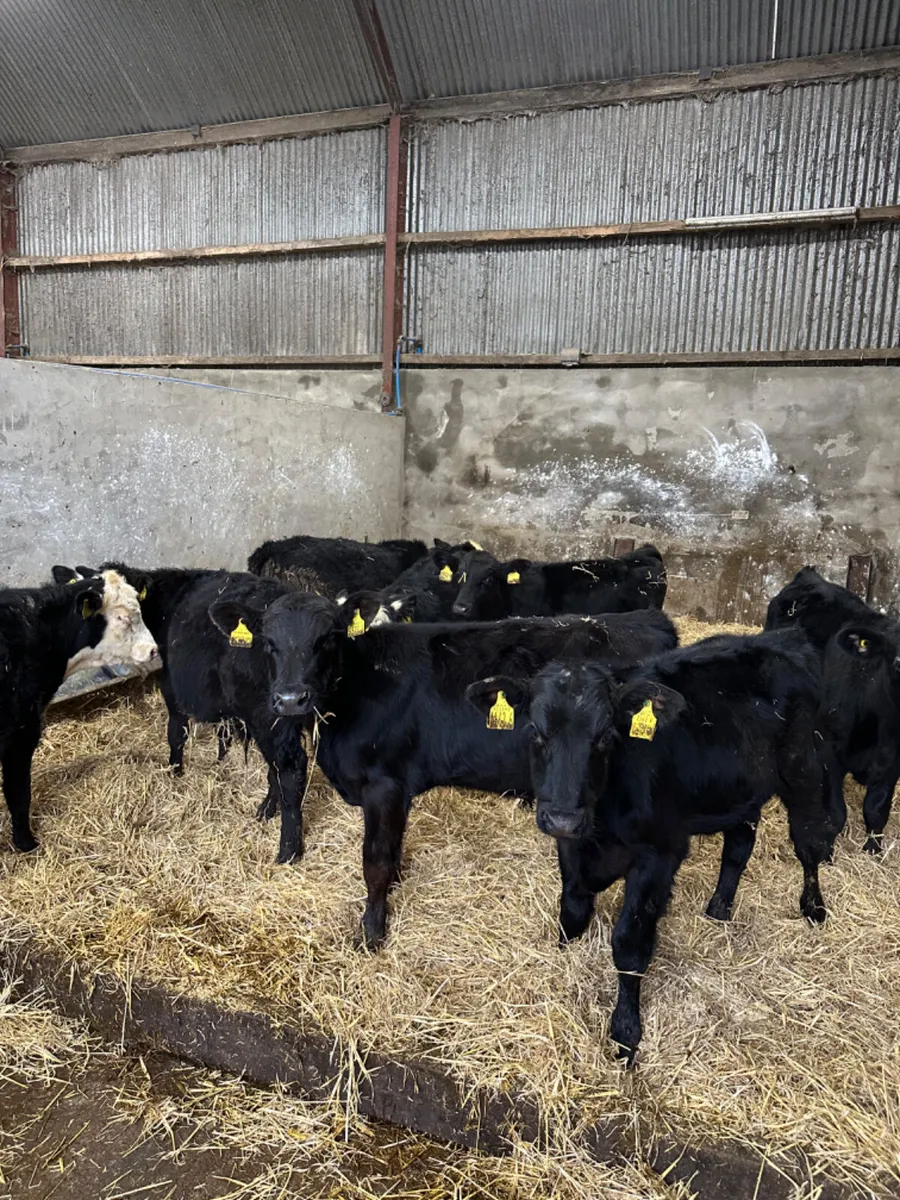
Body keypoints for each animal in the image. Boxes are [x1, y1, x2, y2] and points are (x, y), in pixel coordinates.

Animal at [75, 563, 308, 863]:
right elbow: (223, 732)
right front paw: (220, 759)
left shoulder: (171, 688)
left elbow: (176, 733)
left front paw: (175, 770)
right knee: (277, 769)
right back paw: (267, 809)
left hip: (270, 718)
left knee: (290, 770)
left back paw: (288, 849)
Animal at [205, 592, 678, 948]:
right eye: (268, 642)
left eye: (328, 639)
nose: (290, 699)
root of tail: (651, 619)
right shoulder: (399, 788)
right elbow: (393, 849)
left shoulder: (383, 785)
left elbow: (375, 860)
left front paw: (371, 933)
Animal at [466, 629, 842, 1063]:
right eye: (535, 733)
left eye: (605, 737)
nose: (563, 818)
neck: (602, 827)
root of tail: (784, 638)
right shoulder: (572, 848)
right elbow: (572, 912)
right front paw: (563, 959)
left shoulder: (660, 854)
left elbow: (629, 943)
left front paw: (626, 1032)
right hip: (741, 791)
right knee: (739, 846)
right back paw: (719, 908)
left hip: (804, 771)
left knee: (809, 843)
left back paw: (813, 908)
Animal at [766, 566, 900, 851]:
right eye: (891, 647)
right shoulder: (827, 747)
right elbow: (836, 813)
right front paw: (824, 851)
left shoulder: (894, 759)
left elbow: (876, 808)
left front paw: (873, 849)